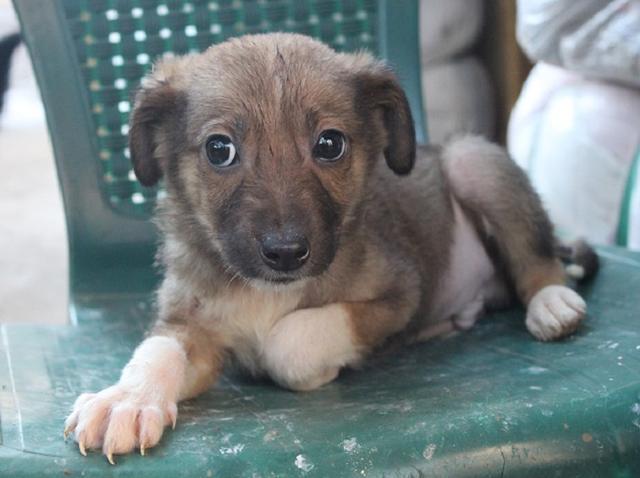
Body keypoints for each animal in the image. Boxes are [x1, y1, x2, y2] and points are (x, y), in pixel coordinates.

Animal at [63, 33, 596, 464]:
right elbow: (157, 350)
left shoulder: (398, 294)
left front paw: (303, 366)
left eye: (329, 144)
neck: (265, 289)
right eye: (219, 149)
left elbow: (289, 341)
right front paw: (127, 399)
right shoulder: (189, 320)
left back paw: (552, 301)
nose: (285, 252)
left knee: (536, 255)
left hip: (474, 160)